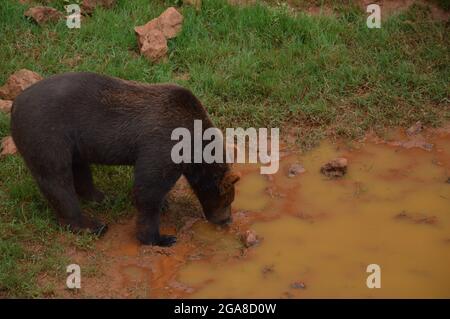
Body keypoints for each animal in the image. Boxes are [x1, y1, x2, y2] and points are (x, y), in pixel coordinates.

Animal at [10, 72, 239, 248]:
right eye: (227, 200)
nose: (227, 220)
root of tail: (14, 106)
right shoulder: (164, 144)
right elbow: (148, 190)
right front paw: (160, 237)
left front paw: (164, 205)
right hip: (47, 133)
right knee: (57, 179)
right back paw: (91, 225)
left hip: (72, 142)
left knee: (79, 169)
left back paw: (102, 197)